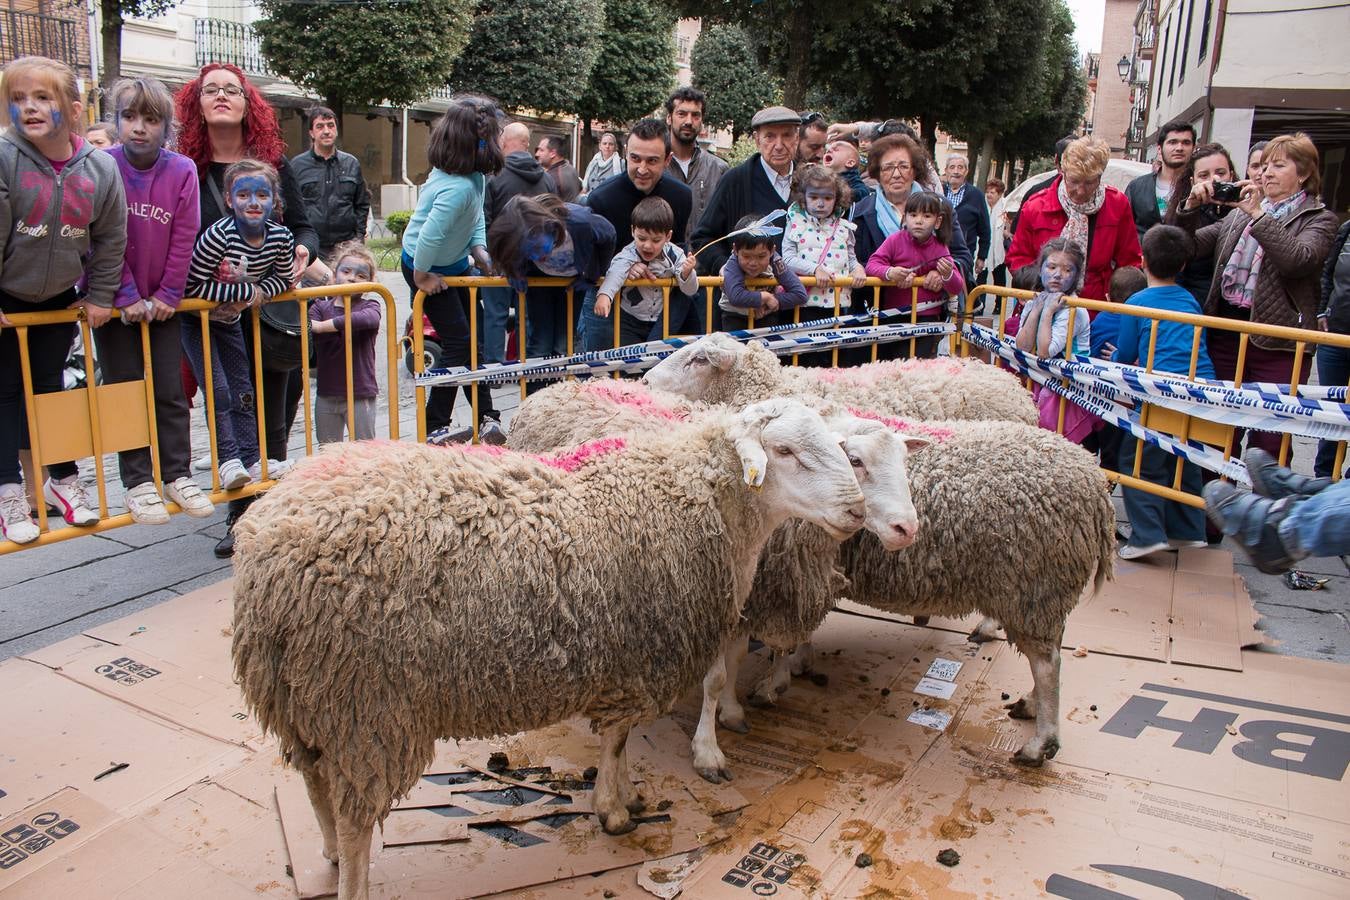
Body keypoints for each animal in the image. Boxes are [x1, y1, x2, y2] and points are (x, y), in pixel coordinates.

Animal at [229, 402, 864, 900]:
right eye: (784, 451)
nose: (857, 510)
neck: (698, 500)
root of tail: (262, 547)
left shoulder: (626, 660)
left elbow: (621, 743)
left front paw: (628, 797)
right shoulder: (636, 659)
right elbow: (616, 741)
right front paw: (613, 810)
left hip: (309, 697)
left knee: (315, 783)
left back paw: (332, 855)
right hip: (367, 707)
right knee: (356, 813)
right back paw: (353, 875)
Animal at [642, 334, 1117, 771]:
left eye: (698, 359)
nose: (643, 379)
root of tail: (1095, 484)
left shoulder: (775, 575)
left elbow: (754, 649)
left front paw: (758, 693)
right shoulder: (803, 568)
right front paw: (793, 667)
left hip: (1034, 585)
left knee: (1048, 664)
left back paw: (1040, 742)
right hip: (1038, 592)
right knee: (1050, 655)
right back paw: (1030, 703)